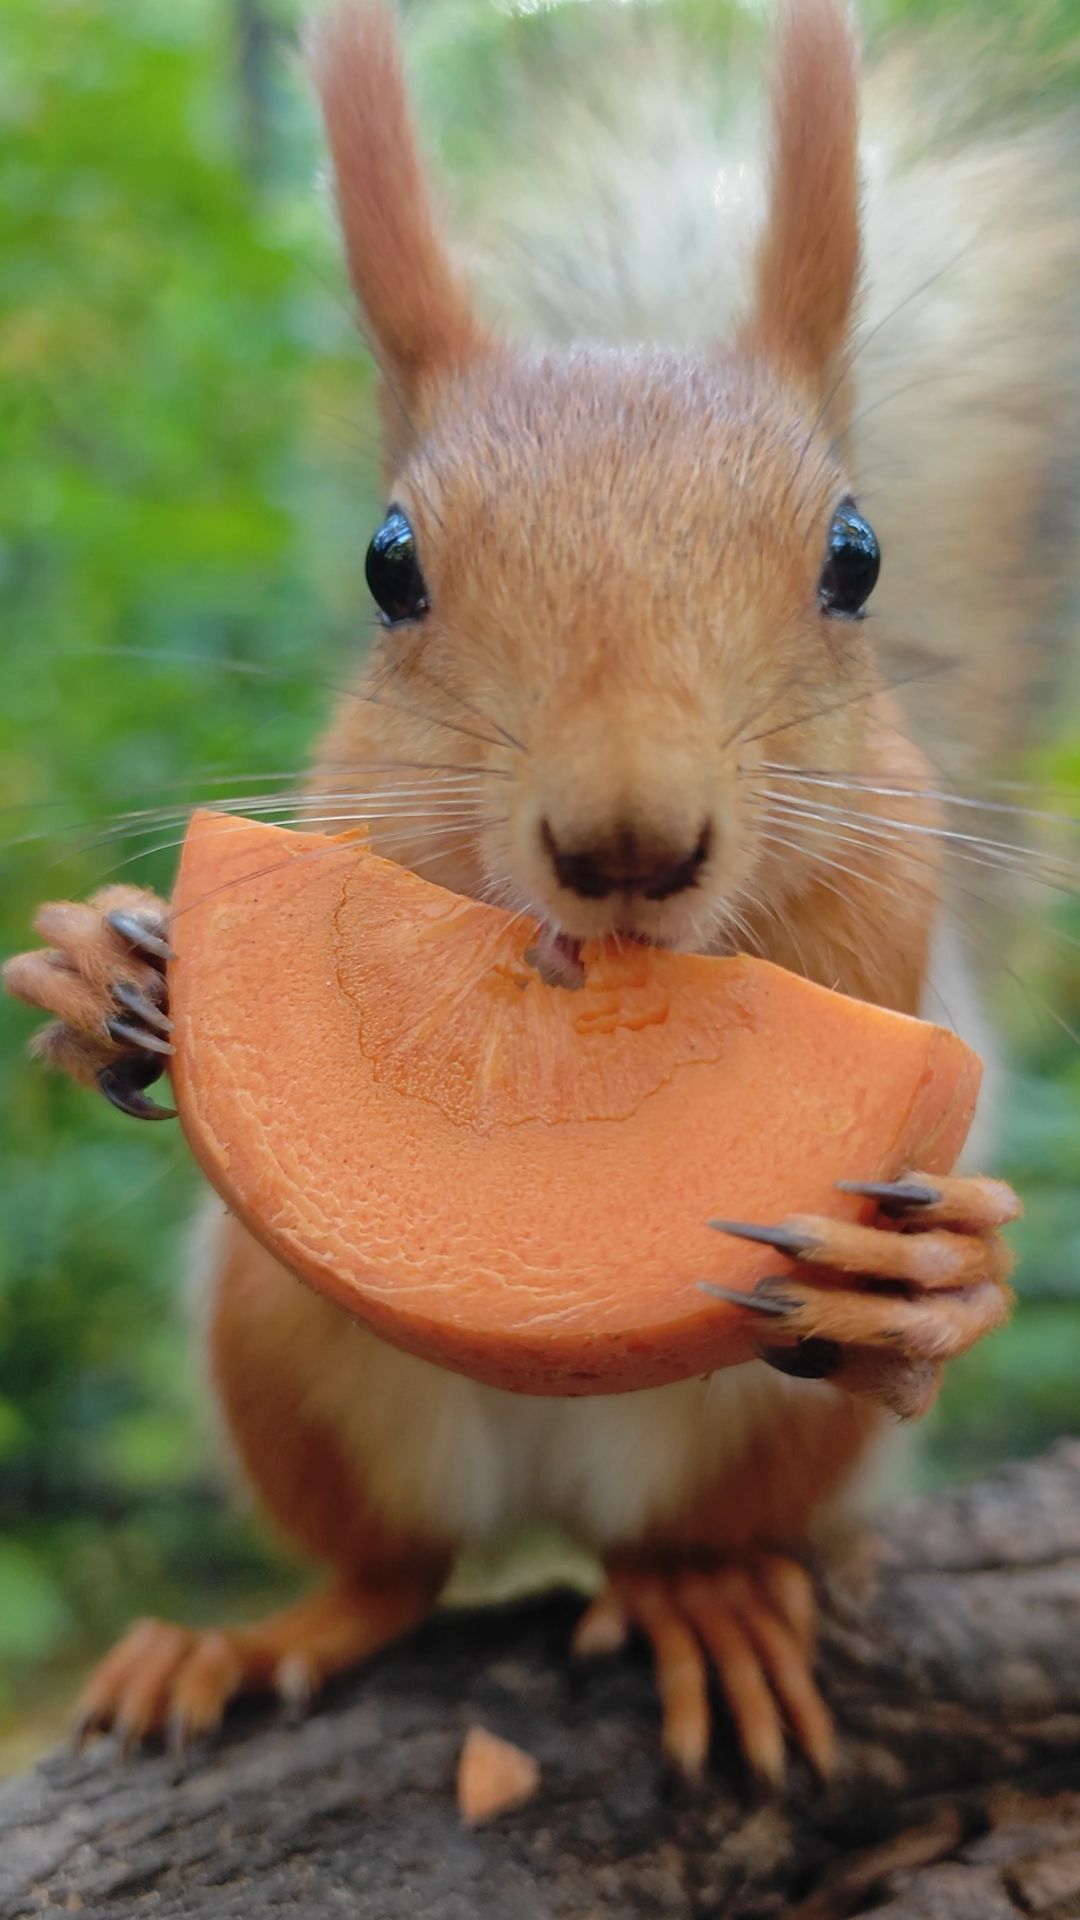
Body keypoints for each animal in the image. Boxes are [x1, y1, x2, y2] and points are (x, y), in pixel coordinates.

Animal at [6, 0, 1073, 1787]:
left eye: (857, 556)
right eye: (388, 565)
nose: (628, 842)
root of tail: (555, 1497)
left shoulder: (891, 916)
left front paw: (934, 1281)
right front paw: (104, 966)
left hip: (763, 1446)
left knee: (678, 1535)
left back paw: (707, 1593)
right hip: (279, 1341)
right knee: (392, 1567)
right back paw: (254, 1639)